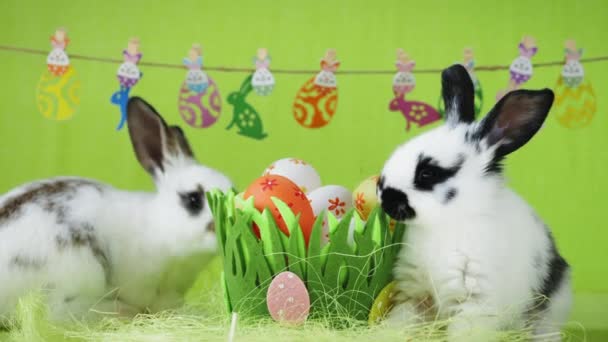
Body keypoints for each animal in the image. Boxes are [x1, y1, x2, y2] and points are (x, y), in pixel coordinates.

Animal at [378, 65, 572, 342]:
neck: (446, 225)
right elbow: (402, 319)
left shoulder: (477, 302)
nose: (384, 195)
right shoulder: (415, 293)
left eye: (428, 173)